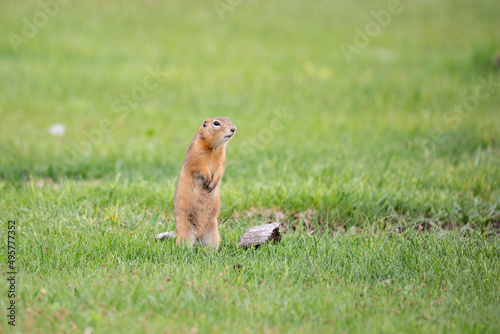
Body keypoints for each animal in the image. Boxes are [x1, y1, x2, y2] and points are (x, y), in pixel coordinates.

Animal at [173, 116, 237, 249]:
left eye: (229, 119)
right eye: (216, 123)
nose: (233, 128)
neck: (214, 148)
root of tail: (199, 234)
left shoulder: (222, 159)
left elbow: (220, 170)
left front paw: (213, 183)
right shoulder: (196, 156)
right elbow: (200, 168)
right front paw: (208, 181)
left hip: (212, 234)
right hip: (185, 232)